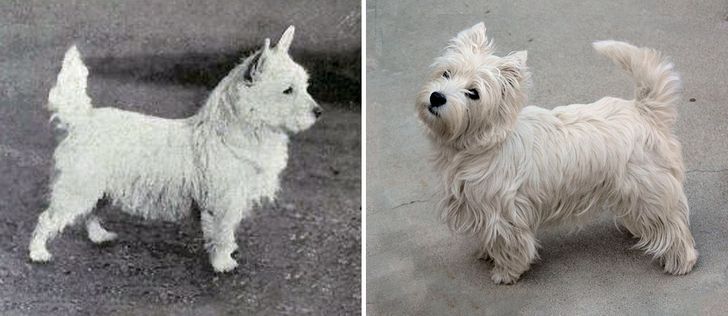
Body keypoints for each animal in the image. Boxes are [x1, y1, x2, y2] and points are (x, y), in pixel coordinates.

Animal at [30, 25, 322, 272]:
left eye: (305, 86)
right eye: (287, 90)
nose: (319, 112)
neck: (239, 133)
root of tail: (83, 119)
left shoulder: (234, 201)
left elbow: (228, 231)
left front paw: (230, 251)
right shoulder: (222, 203)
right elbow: (221, 233)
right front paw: (223, 263)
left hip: (99, 189)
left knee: (90, 213)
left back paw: (100, 236)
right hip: (78, 187)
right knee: (48, 218)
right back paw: (38, 253)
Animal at [418, 22, 696, 284]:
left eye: (473, 93)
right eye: (447, 72)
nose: (437, 97)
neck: (481, 145)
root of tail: (645, 111)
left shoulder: (503, 216)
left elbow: (510, 247)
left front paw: (505, 273)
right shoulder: (479, 208)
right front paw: (487, 254)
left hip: (649, 191)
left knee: (673, 226)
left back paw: (681, 262)